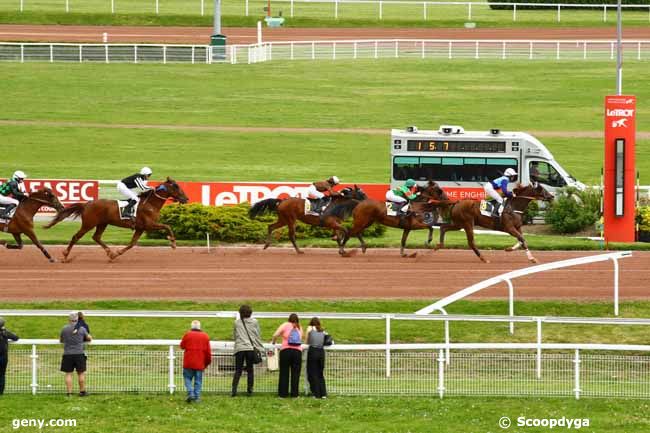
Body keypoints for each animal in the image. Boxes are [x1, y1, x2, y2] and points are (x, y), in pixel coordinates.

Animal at [44, 176, 187, 260]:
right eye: (176, 186)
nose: (186, 199)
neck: (150, 204)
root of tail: (87, 204)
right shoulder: (149, 224)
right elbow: (167, 226)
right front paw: (173, 242)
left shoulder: (140, 228)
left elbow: (132, 243)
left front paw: (117, 253)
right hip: (88, 224)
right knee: (76, 237)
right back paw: (65, 255)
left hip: (102, 223)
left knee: (96, 237)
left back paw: (110, 252)